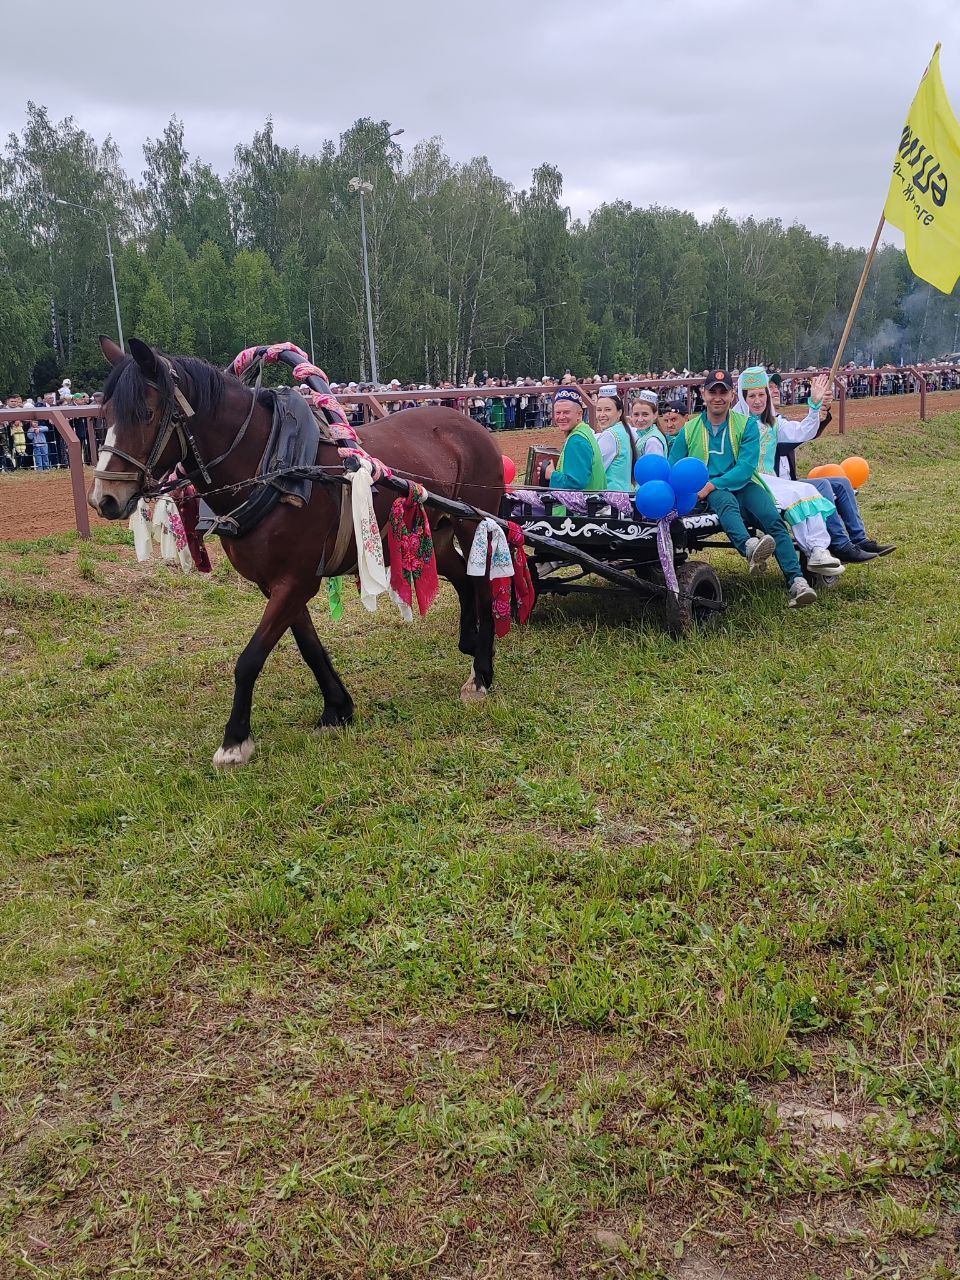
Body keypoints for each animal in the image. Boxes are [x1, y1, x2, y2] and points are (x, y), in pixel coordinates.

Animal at [89, 335, 506, 762]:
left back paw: (481, 673)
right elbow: (309, 648)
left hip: (473, 523)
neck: (273, 466)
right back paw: (469, 642)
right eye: (105, 414)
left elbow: (250, 658)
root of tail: (471, 423)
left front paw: (235, 739)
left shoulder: (295, 581)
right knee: (463, 578)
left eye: (145, 412)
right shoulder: (277, 583)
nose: (104, 498)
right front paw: (337, 708)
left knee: (484, 584)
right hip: (432, 536)